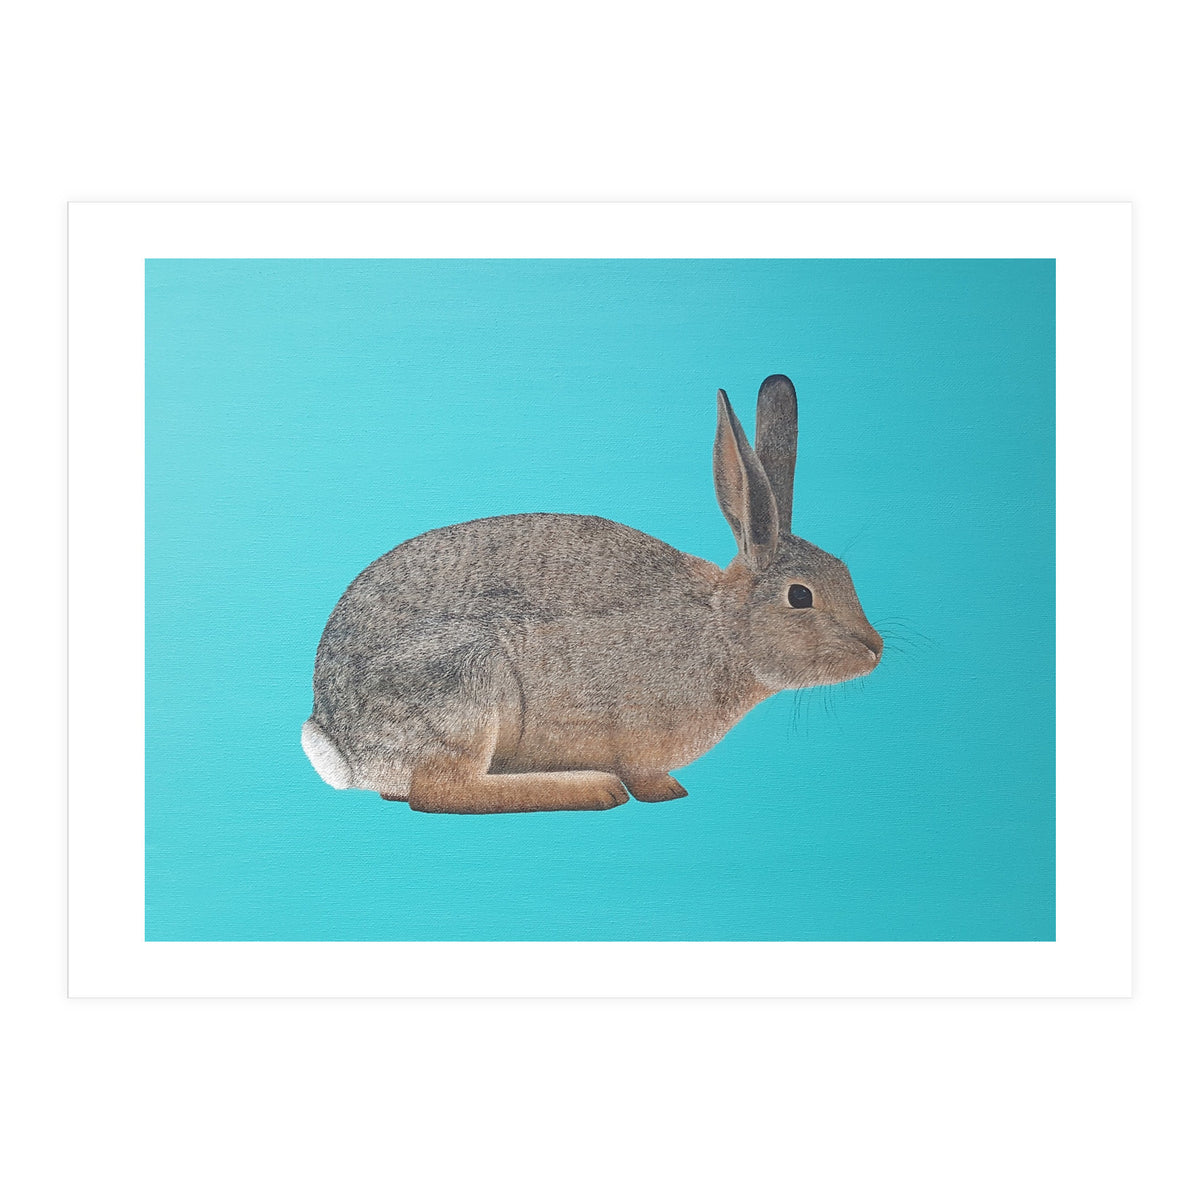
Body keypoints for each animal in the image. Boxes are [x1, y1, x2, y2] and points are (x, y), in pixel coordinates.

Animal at [301, 375, 882, 813]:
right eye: (801, 597)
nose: (874, 649)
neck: (724, 628)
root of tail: (341, 743)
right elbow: (644, 775)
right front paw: (664, 791)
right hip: (465, 683)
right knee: (440, 791)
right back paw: (592, 788)